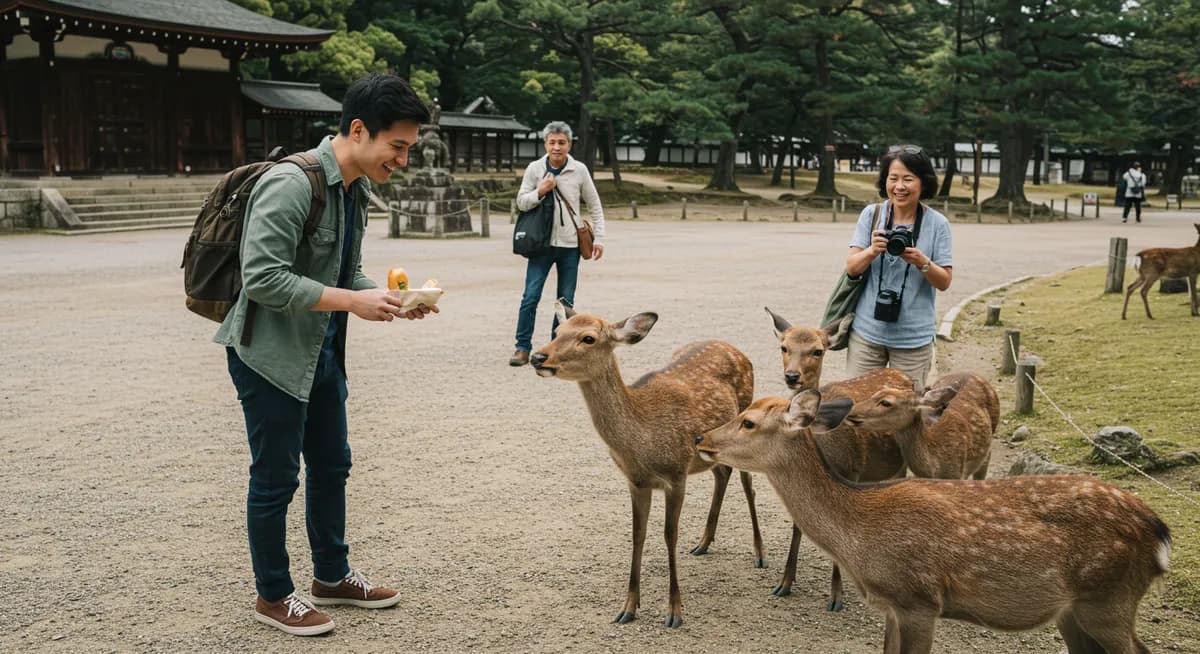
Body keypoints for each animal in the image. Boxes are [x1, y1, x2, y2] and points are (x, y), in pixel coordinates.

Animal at [530, 302, 758, 628]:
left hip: (745, 421)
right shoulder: (636, 482)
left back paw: (760, 555)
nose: (538, 356)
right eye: (558, 331)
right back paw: (703, 543)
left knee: (748, 483)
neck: (641, 441)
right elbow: (638, 534)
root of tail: (736, 349)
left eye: (588, 338)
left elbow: (669, 535)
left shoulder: (677, 474)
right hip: (711, 448)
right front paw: (628, 607)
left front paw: (674, 612)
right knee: (722, 472)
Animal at [696, 390, 1171, 654]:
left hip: (1108, 598)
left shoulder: (919, 599)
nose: (701, 437)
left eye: (748, 421)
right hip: (1075, 610)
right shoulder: (891, 604)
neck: (858, 535)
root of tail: (1159, 533)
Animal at [765, 307, 910, 609]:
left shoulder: (850, 470)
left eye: (817, 351)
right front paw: (785, 583)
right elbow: (799, 524)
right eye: (784, 347)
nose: (792, 376)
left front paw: (836, 596)